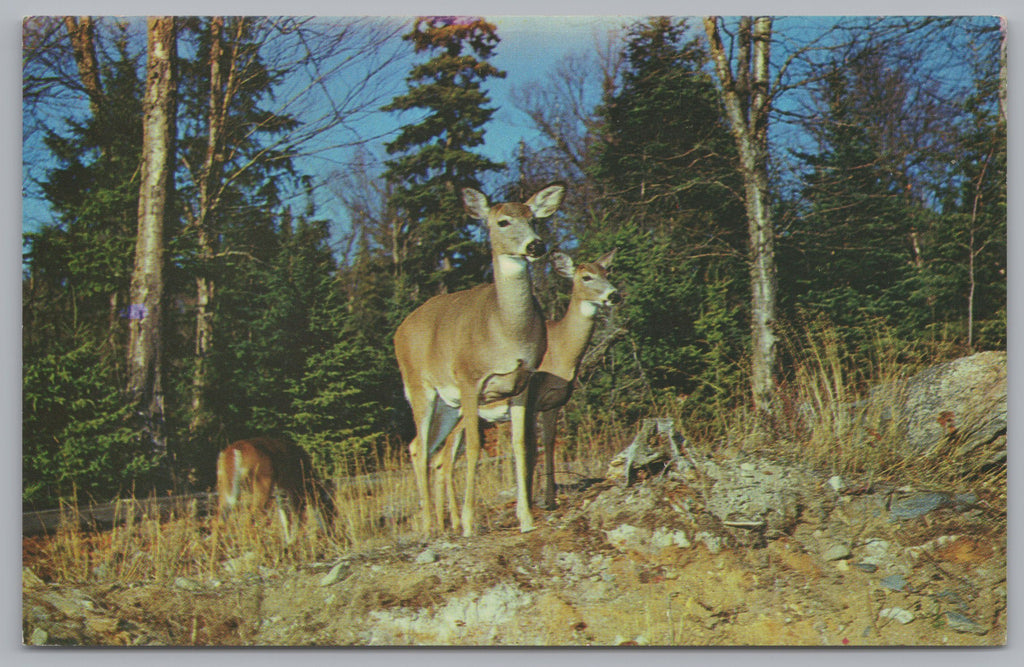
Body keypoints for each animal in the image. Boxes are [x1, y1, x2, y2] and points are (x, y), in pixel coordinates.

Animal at [393, 182, 569, 536]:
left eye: (534, 219)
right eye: (502, 221)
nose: (536, 245)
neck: (506, 331)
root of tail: (399, 331)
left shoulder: (522, 383)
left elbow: (520, 445)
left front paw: (526, 518)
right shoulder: (469, 379)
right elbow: (474, 448)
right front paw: (469, 523)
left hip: (447, 406)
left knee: (419, 446)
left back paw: (435, 525)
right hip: (420, 387)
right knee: (423, 448)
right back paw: (430, 526)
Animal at [430, 247, 618, 528]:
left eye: (607, 273)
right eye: (586, 276)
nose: (613, 295)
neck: (563, 352)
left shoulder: (554, 403)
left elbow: (548, 443)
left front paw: (550, 499)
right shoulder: (531, 398)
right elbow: (529, 447)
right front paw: (529, 503)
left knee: (439, 459)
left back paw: (447, 523)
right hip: (460, 415)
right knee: (443, 460)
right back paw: (455, 521)